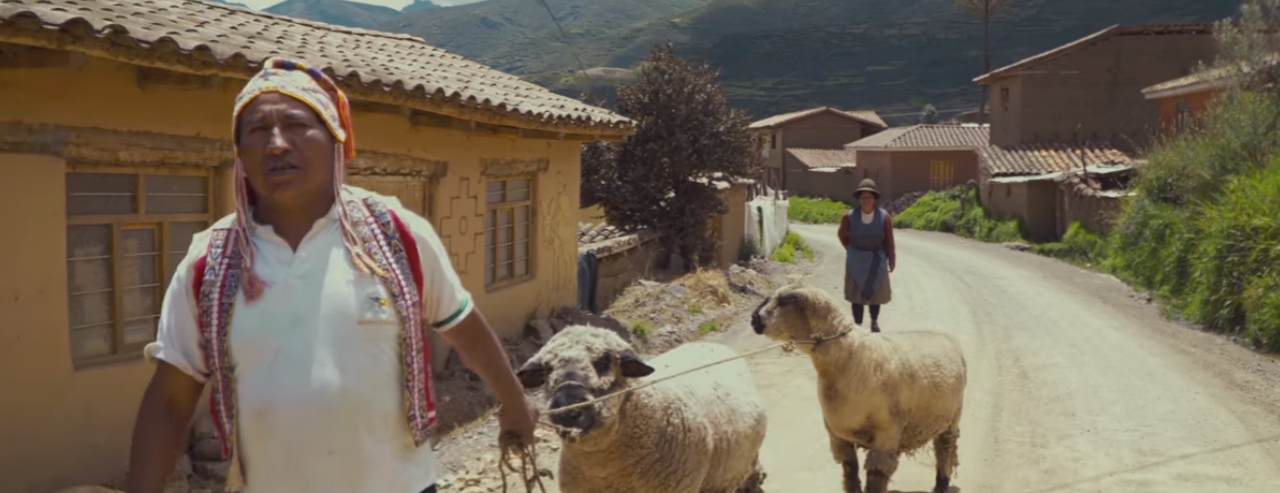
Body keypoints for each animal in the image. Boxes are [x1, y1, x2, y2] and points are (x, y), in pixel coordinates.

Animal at [749, 284, 966, 493]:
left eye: (784, 302)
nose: (754, 319)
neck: (850, 359)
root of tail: (946, 336)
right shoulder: (838, 435)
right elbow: (850, 471)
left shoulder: (886, 435)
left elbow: (876, 477)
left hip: (952, 416)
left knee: (945, 450)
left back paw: (942, 484)